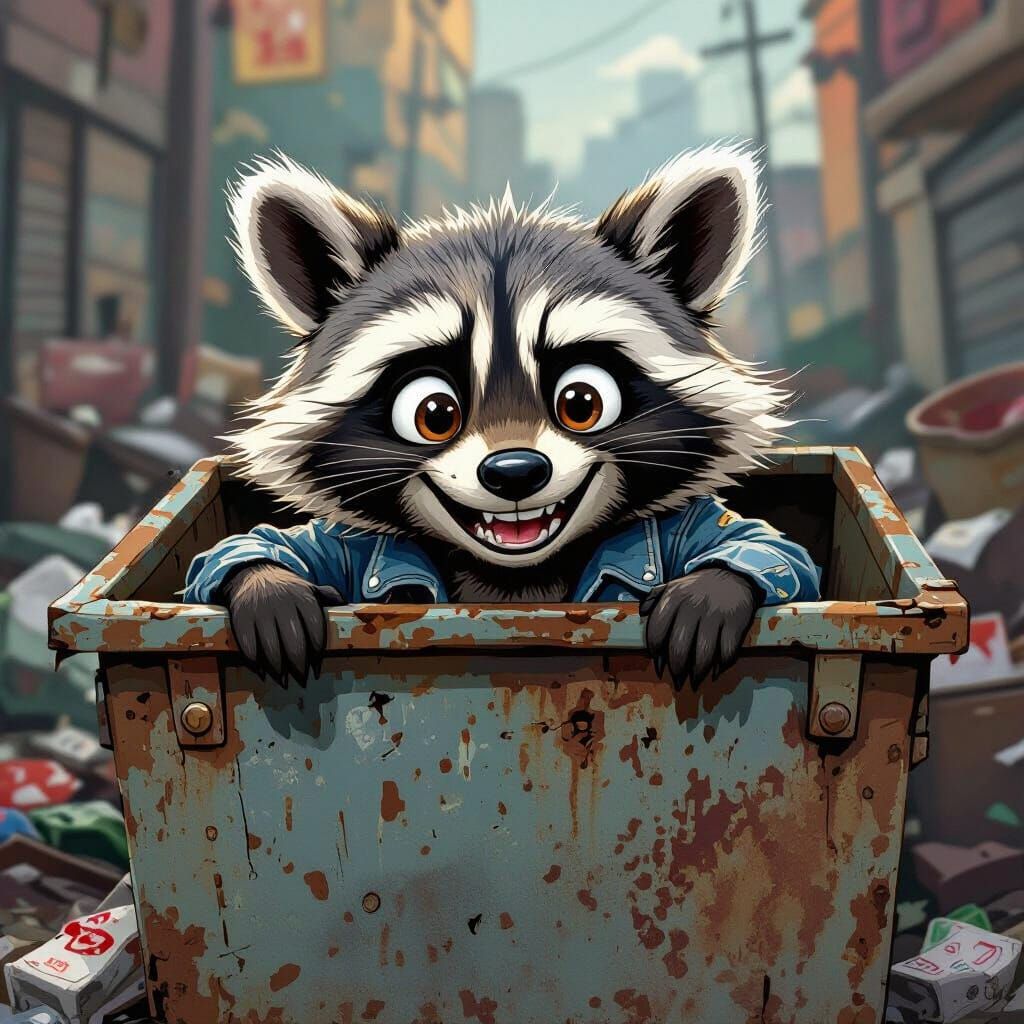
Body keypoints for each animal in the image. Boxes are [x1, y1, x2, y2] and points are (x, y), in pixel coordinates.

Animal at [185, 146, 820, 685]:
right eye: (434, 412)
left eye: (582, 403)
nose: (515, 471)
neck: (515, 583)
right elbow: (256, 547)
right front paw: (268, 589)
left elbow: (769, 546)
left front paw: (711, 591)